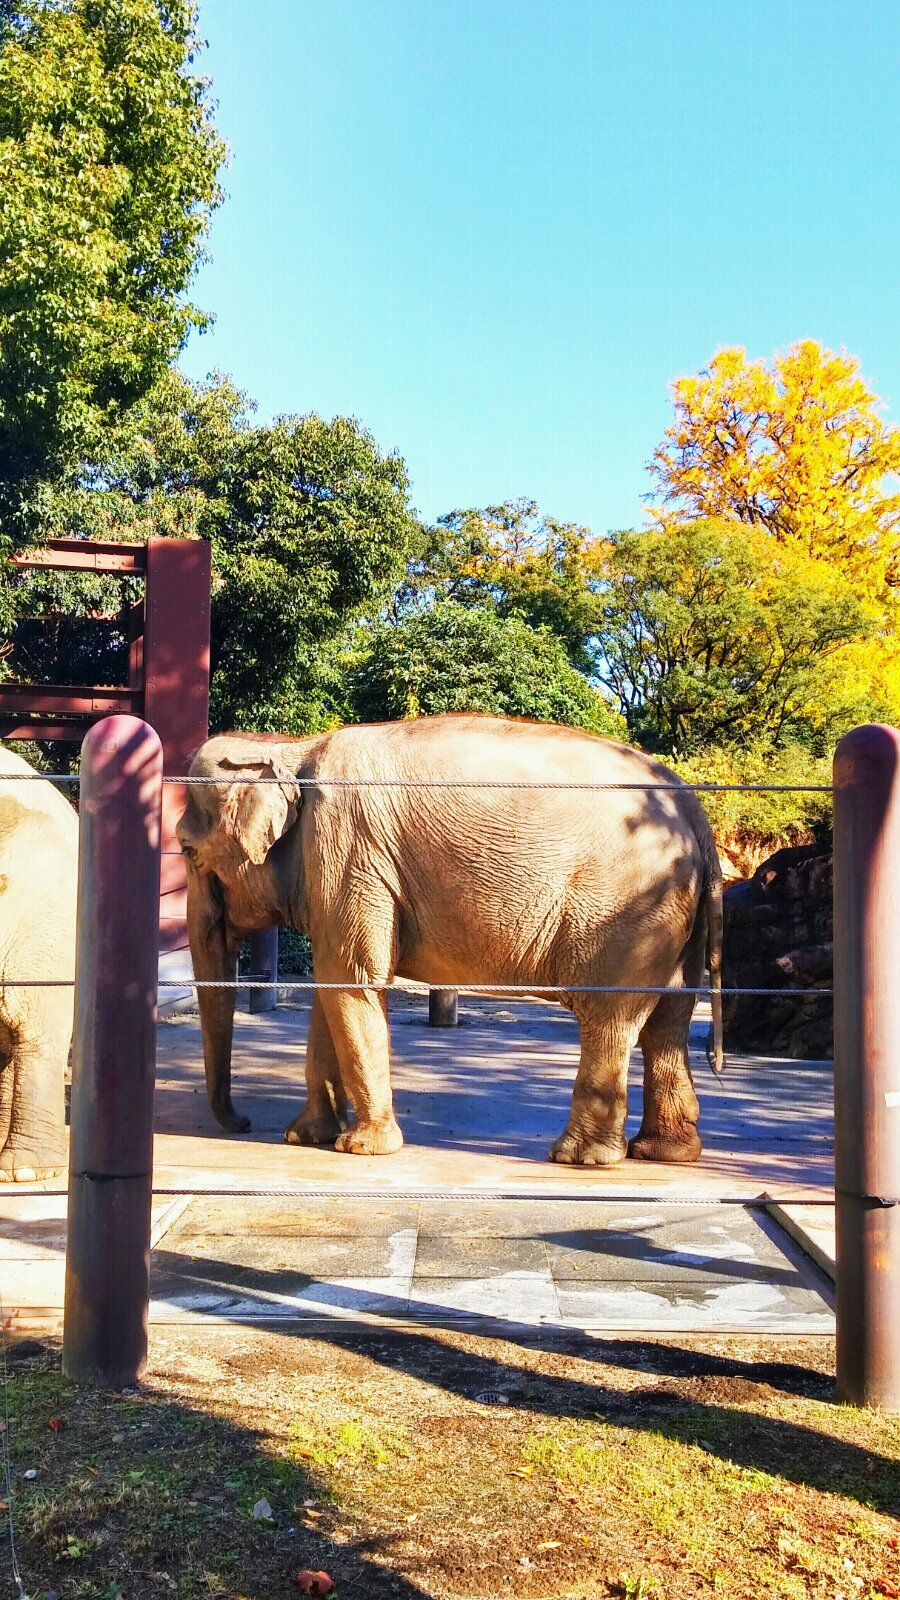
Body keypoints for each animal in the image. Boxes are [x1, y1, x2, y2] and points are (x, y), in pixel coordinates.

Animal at [176, 713, 720, 1164]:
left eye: (186, 850)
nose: (242, 1123)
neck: (290, 747)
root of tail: (693, 809)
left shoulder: (347, 849)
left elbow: (349, 976)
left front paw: (361, 1149)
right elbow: (332, 983)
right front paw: (305, 1138)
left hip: (626, 915)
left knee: (610, 1016)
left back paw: (579, 1158)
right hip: (670, 916)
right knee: (668, 1020)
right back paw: (664, 1152)